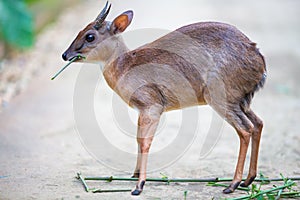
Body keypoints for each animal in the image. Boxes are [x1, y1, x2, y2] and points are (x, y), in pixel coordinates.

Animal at [60, 1, 264, 195]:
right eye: (81, 30)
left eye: (90, 36)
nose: (65, 55)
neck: (125, 65)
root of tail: (258, 57)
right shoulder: (141, 111)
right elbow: (138, 139)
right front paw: (134, 175)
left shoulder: (152, 107)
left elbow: (145, 142)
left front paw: (139, 186)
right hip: (240, 102)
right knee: (258, 124)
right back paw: (248, 180)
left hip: (221, 100)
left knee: (245, 129)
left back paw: (232, 185)